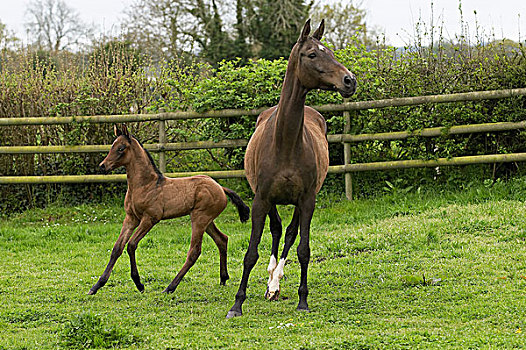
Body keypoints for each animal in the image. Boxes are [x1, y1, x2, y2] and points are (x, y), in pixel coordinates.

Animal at [88, 125, 250, 296]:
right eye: (112, 146)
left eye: (121, 148)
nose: (103, 165)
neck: (144, 185)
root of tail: (220, 187)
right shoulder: (131, 218)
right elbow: (117, 248)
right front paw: (96, 286)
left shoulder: (150, 218)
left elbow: (131, 245)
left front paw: (139, 284)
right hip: (207, 220)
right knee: (222, 239)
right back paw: (223, 278)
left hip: (200, 218)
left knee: (194, 251)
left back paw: (170, 287)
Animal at [228, 20, 358, 318]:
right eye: (312, 54)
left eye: (330, 51)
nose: (349, 80)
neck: (285, 143)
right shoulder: (261, 199)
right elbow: (251, 253)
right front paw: (237, 304)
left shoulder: (307, 200)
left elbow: (302, 248)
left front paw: (303, 300)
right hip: (270, 200)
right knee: (276, 230)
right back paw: (270, 281)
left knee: (288, 233)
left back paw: (276, 283)